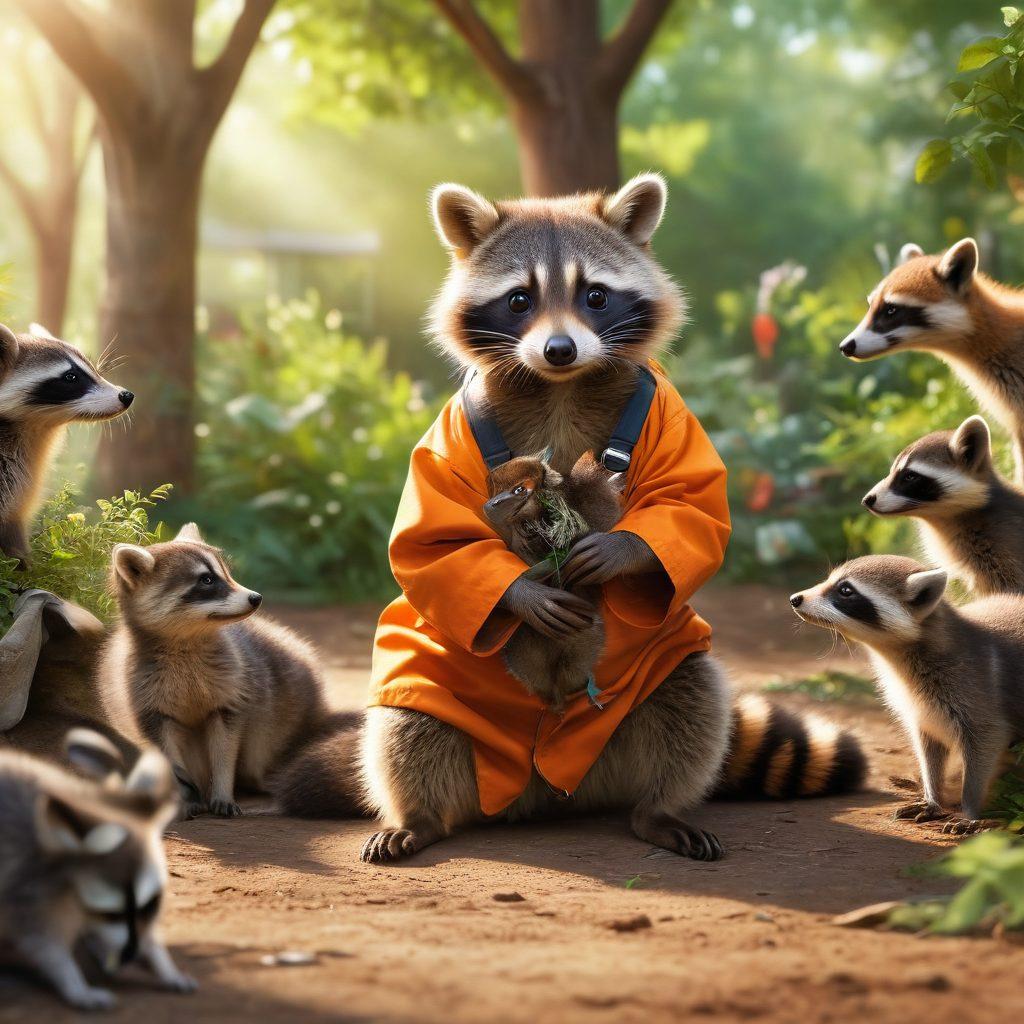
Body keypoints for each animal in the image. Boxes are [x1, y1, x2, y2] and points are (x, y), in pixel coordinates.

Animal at [0, 728, 194, 1010]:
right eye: (111, 913)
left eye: (149, 906)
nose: (131, 953)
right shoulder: (30, 884)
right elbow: (42, 941)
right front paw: (73, 982)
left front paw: (161, 962)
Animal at [98, 524, 361, 819]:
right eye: (206, 580)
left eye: (226, 572)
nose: (256, 598)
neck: (187, 641)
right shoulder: (144, 696)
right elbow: (164, 749)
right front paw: (182, 797)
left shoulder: (233, 684)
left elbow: (225, 747)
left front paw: (223, 790)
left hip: (280, 709)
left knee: (260, 746)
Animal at [790, 555, 1024, 834]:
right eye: (830, 580)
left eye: (846, 590)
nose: (795, 598)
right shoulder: (922, 708)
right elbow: (928, 747)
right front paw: (933, 796)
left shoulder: (975, 687)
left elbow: (987, 741)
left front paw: (970, 811)